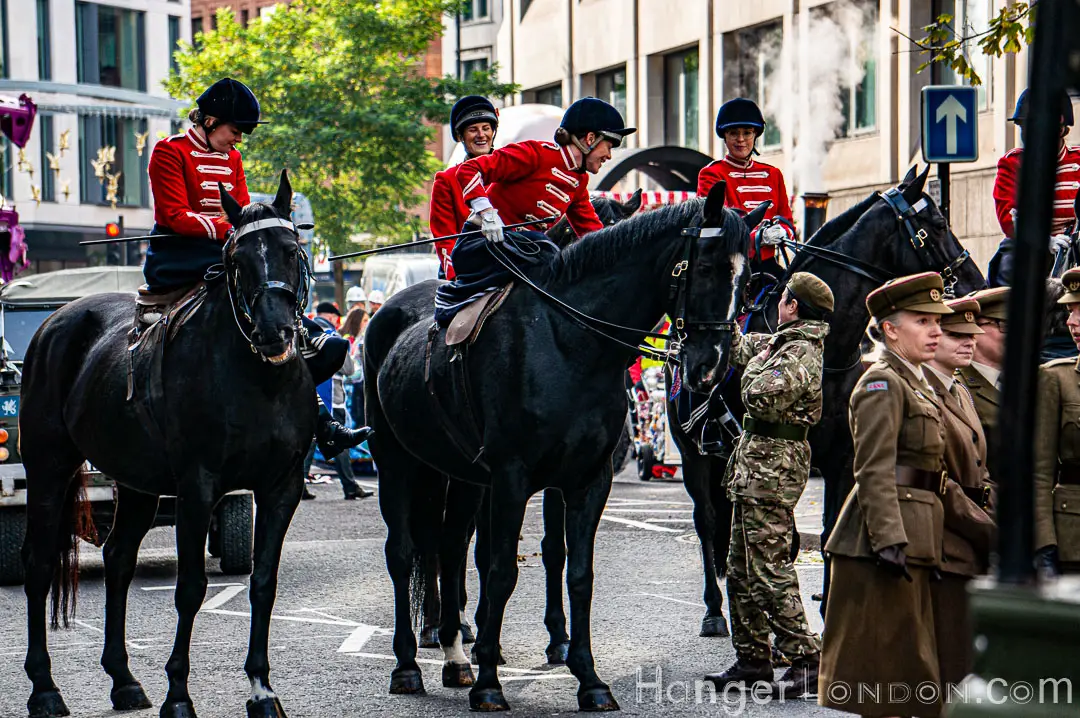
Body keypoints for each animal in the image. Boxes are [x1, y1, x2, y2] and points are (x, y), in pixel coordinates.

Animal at [19, 169, 315, 716]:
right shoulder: (198, 487)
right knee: (39, 562)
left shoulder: (280, 488)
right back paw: (44, 688)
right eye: (237, 261)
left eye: (291, 250)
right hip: (49, 466)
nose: (274, 332)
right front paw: (178, 694)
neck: (258, 381)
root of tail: (54, 320)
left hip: (137, 480)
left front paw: (262, 688)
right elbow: (191, 588)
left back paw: (123, 679)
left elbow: (263, 583)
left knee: (118, 559)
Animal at [367, 182, 764, 708]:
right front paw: (491, 680)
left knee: (449, 548)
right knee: (403, 552)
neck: (570, 344)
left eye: (748, 278)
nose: (710, 368)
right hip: (395, 461)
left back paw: (454, 656)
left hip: (458, 472)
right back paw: (409, 664)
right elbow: (500, 570)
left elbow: (577, 571)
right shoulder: (512, 478)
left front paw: (587, 676)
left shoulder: (586, 479)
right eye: (704, 268)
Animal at [669, 161, 989, 634]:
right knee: (708, 522)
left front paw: (827, 610)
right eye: (936, 222)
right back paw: (713, 610)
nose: (976, 282)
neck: (828, 347)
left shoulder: (842, 458)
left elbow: (828, 531)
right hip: (694, 455)